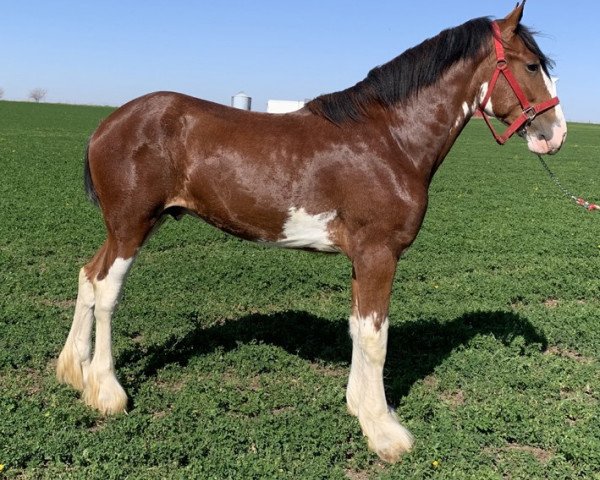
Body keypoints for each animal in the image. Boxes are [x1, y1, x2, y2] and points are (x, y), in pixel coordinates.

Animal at [55, 1, 564, 464]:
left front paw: (360, 407)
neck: (390, 139)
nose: (555, 134)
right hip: (131, 226)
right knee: (107, 290)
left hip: (129, 226)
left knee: (88, 275)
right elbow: (376, 339)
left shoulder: (363, 259)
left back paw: (73, 371)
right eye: (532, 64)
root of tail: (107, 124)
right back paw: (107, 391)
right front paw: (384, 432)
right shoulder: (379, 254)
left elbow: (359, 329)